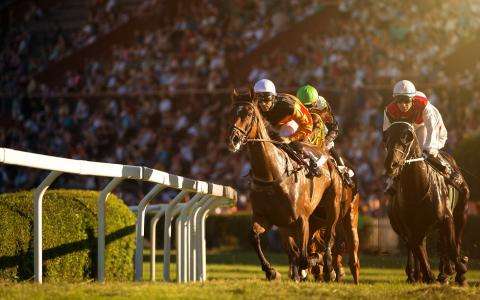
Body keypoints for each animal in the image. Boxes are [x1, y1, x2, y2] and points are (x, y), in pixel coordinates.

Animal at [227, 91, 344, 282]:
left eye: (249, 114)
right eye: (232, 113)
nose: (233, 140)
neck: (272, 173)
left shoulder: (301, 219)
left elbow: (304, 257)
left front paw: (313, 265)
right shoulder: (265, 218)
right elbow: (254, 237)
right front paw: (271, 271)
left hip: (332, 207)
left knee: (328, 238)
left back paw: (329, 270)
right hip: (302, 222)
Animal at [384, 120, 470, 284]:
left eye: (407, 138)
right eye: (386, 139)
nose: (392, 164)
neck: (417, 188)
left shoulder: (446, 218)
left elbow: (451, 245)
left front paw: (459, 272)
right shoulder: (411, 228)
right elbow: (420, 252)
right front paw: (428, 276)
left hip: (461, 211)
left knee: (453, 240)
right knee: (417, 247)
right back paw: (417, 275)